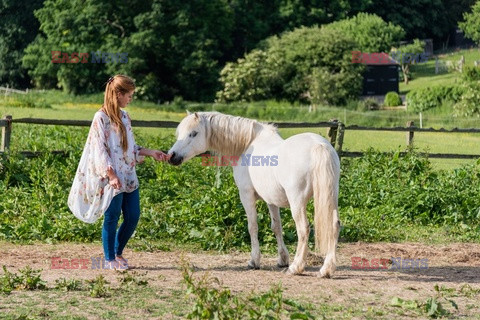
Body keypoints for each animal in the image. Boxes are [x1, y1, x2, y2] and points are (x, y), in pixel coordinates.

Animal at [169, 112, 342, 278]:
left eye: (193, 133)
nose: (172, 156)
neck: (247, 144)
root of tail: (319, 145)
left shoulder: (246, 195)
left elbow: (252, 226)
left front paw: (254, 261)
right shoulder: (271, 200)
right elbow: (276, 227)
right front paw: (282, 259)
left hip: (297, 202)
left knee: (303, 229)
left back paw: (296, 267)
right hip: (331, 197)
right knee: (334, 225)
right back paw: (326, 269)